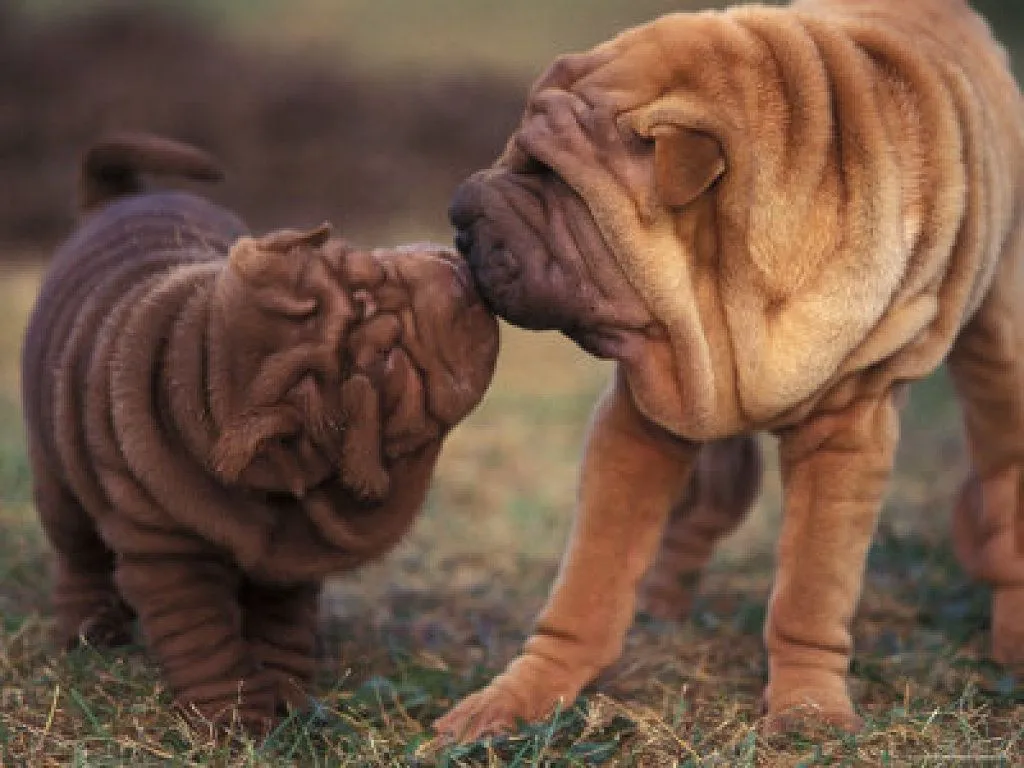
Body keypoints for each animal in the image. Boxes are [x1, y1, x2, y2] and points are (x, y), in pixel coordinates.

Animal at [20, 134, 499, 733]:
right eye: (389, 363)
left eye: (367, 276)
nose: (460, 279)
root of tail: (115, 201)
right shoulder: (168, 556)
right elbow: (204, 639)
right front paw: (233, 722)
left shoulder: (293, 559)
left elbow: (280, 628)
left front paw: (288, 699)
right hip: (55, 477)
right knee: (78, 552)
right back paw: (91, 633)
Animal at [434, 0, 1024, 741]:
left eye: (546, 174)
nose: (457, 214)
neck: (721, 293)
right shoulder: (644, 411)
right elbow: (593, 574)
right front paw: (517, 698)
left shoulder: (846, 434)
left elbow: (810, 590)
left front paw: (808, 714)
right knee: (698, 511)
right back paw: (660, 604)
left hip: (1000, 351)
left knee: (1003, 476)